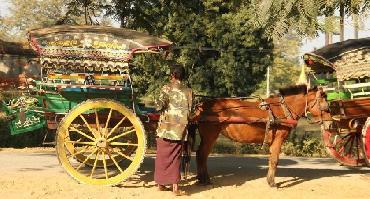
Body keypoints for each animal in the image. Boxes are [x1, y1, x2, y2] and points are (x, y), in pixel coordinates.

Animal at [191, 84, 330, 187]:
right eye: (325, 106)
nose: (329, 124)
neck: (283, 109)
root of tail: (201, 106)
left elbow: (271, 159)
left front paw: (269, 180)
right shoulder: (278, 139)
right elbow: (274, 160)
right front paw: (272, 183)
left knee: (200, 154)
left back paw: (201, 179)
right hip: (210, 136)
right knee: (202, 155)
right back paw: (205, 180)